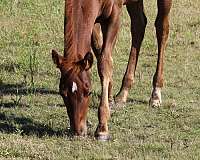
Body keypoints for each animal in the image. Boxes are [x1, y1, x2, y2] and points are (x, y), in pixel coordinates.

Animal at [51, 0, 172, 140]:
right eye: (62, 93)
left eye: (89, 91)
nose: (78, 132)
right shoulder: (95, 19)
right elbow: (98, 49)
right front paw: (109, 96)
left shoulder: (114, 16)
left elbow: (105, 62)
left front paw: (102, 128)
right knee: (139, 25)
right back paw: (122, 93)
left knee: (162, 29)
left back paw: (156, 94)